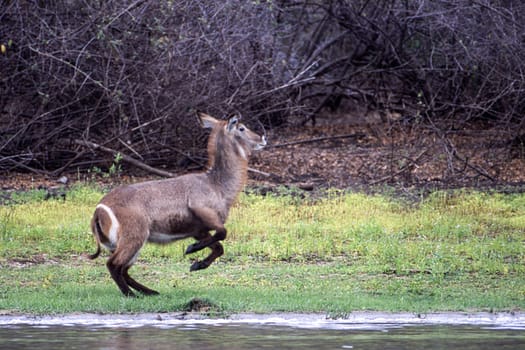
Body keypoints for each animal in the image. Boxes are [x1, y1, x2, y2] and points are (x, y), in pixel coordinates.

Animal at [88, 111, 266, 296]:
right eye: (241, 127)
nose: (262, 138)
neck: (217, 185)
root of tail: (99, 210)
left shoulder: (198, 230)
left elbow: (219, 247)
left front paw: (197, 264)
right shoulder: (202, 211)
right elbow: (223, 233)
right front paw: (192, 249)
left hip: (127, 243)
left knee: (124, 269)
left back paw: (151, 292)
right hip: (135, 236)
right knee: (114, 264)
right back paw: (132, 295)